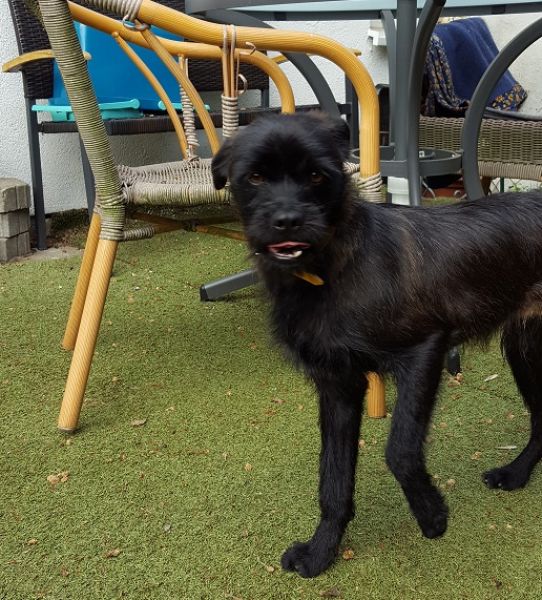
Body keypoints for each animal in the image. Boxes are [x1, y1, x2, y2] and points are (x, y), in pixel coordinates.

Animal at [211, 112, 542, 578]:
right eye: (255, 176)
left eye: (317, 175)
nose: (288, 221)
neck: (333, 267)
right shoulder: (337, 386)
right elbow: (333, 480)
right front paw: (322, 551)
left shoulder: (425, 351)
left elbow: (399, 450)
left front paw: (432, 515)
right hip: (523, 349)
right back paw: (516, 475)